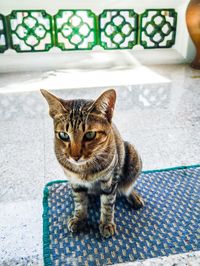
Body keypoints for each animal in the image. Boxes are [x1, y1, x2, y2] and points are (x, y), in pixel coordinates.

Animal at [41, 88, 144, 238]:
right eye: (64, 135)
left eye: (90, 135)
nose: (75, 156)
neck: (84, 169)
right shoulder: (74, 181)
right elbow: (80, 201)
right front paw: (79, 218)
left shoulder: (110, 180)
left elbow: (108, 203)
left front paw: (106, 223)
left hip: (132, 156)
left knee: (127, 187)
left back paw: (133, 196)